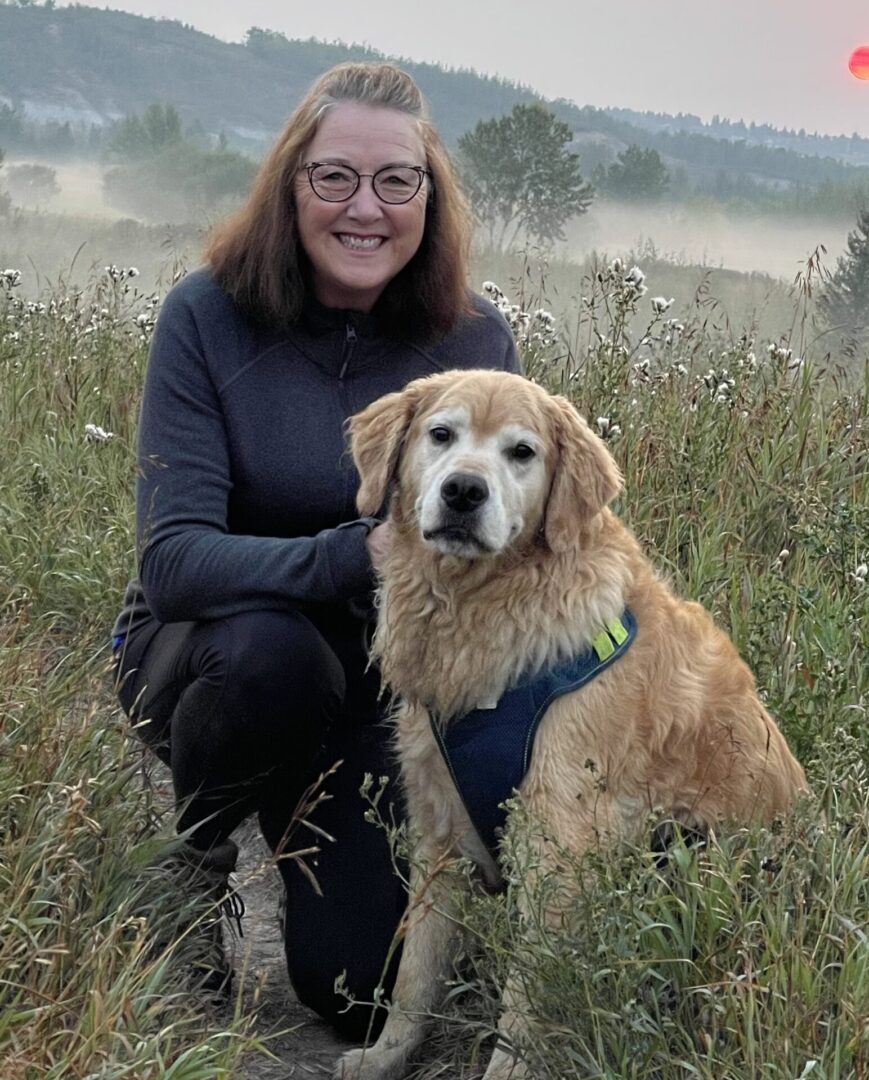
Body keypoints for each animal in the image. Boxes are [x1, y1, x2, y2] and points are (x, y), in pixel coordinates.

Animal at [334, 367, 807, 1075]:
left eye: (521, 452)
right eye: (441, 435)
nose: (464, 491)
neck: (479, 609)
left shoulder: (558, 846)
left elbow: (524, 998)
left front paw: (506, 1069)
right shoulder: (439, 828)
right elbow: (415, 971)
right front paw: (385, 1057)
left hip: (694, 857)